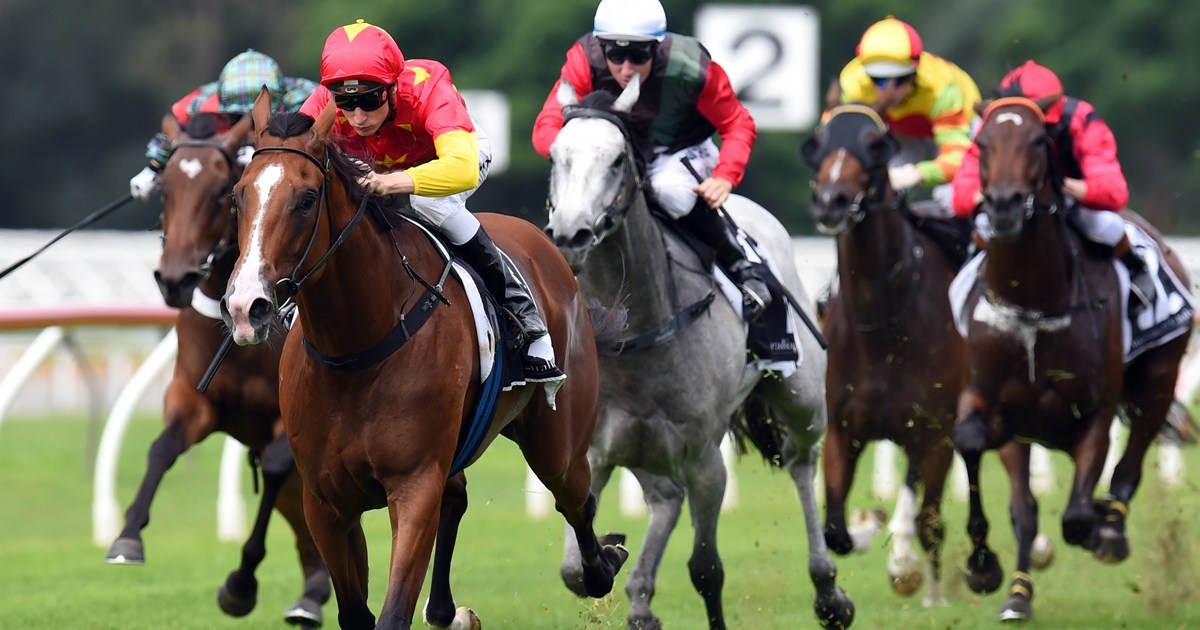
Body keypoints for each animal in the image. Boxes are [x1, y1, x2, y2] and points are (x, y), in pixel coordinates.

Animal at [104, 112, 330, 627]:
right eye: (165, 190)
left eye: (217, 192)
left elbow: (277, 467)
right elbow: (162, 448)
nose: (175, 279)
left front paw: (241, 583)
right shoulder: (194, 397)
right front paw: (127, 537)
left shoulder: (286, 421)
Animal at [221, 89, 628, 630]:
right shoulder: (326, 502)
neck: (356, 351)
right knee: (459, 496)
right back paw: (447, 610)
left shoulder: (414, 487)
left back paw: (605, 563)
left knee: (577, 500)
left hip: (556, 443)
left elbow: (393, 611)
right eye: (239, 196)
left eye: (306, 200)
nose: (247, 306)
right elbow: (356, 611)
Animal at [543, 77, 853, 629]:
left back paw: (827, 589)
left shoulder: (707, 462)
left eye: (617, 159)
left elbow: (706, 568)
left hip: (802, 401)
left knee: (801, 461)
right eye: (558, 156)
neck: (638, 335)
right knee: (664, 498)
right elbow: (575, 571)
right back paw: (640, 597)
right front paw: (611, 555)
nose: (571, 234)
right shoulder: (595, 452)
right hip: (643, 447)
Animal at [799, 103, 968, 605]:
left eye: (874, 147)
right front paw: (867, 524)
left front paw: (919, 581)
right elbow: (835, 531)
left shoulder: (935, 432)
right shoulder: (843, 429)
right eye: (820, 141)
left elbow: (924, 519)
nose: (831, 201)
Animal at [952, 95, 1193, 621]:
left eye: (1037, 141)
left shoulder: (1094, 415)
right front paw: (994, 574)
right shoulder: (998, 409)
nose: (1003, 206)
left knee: (1129, 465)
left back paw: (1112, 525)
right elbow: (985, 462)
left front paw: (1099, 524)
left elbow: (1079, 513)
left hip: (1159, 379)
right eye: (982, 143)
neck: (1034, 304)